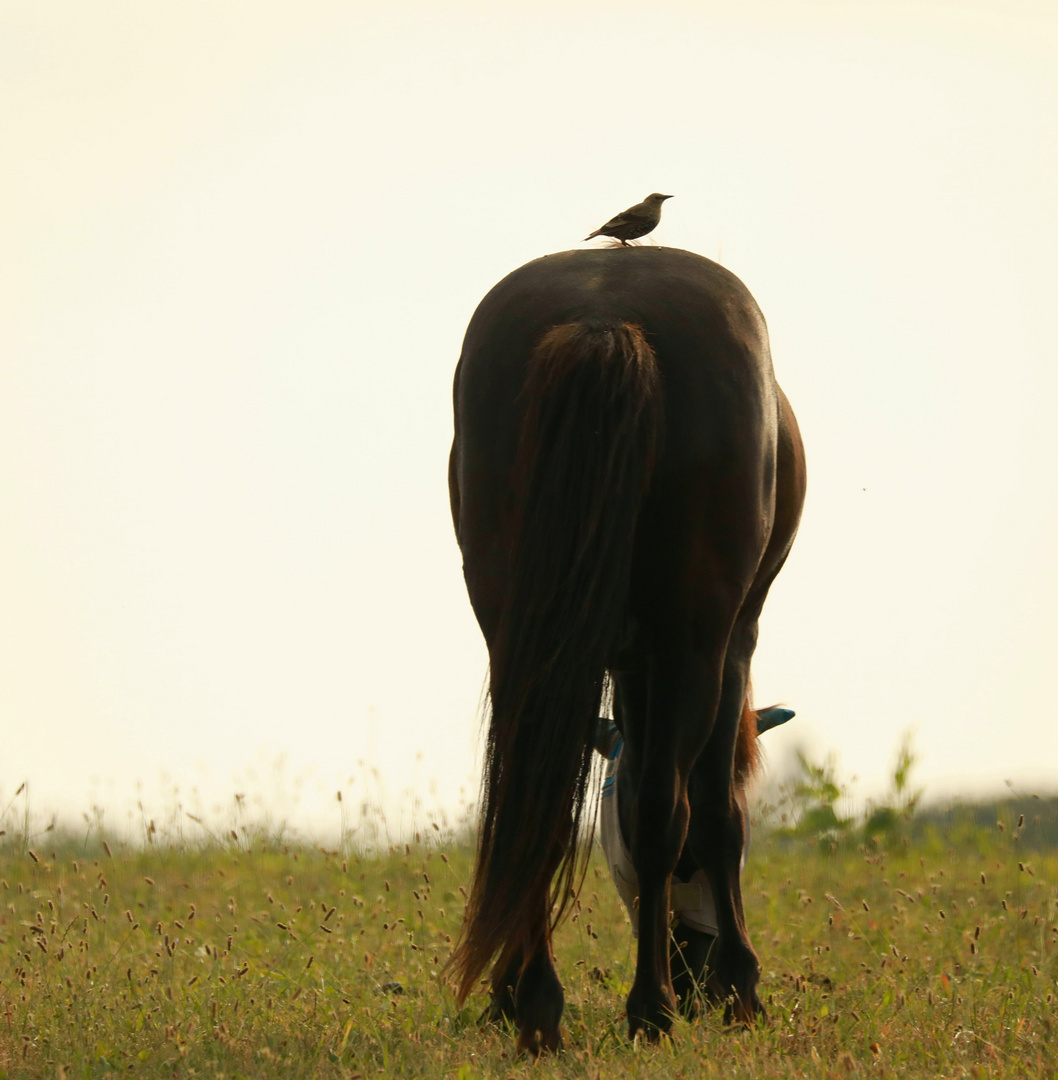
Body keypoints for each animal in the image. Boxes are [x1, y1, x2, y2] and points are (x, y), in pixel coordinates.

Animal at [444, 247, 803, 1054]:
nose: (696, 973)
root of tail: (604, 314)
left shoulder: (623, 663)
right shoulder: (726, 646)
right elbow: (714, 814)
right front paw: (741, 989)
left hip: (517, 629)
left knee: (535, 802)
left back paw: (535, 1005)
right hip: (696, 638)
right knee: (664, 808)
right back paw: (651, 1008)